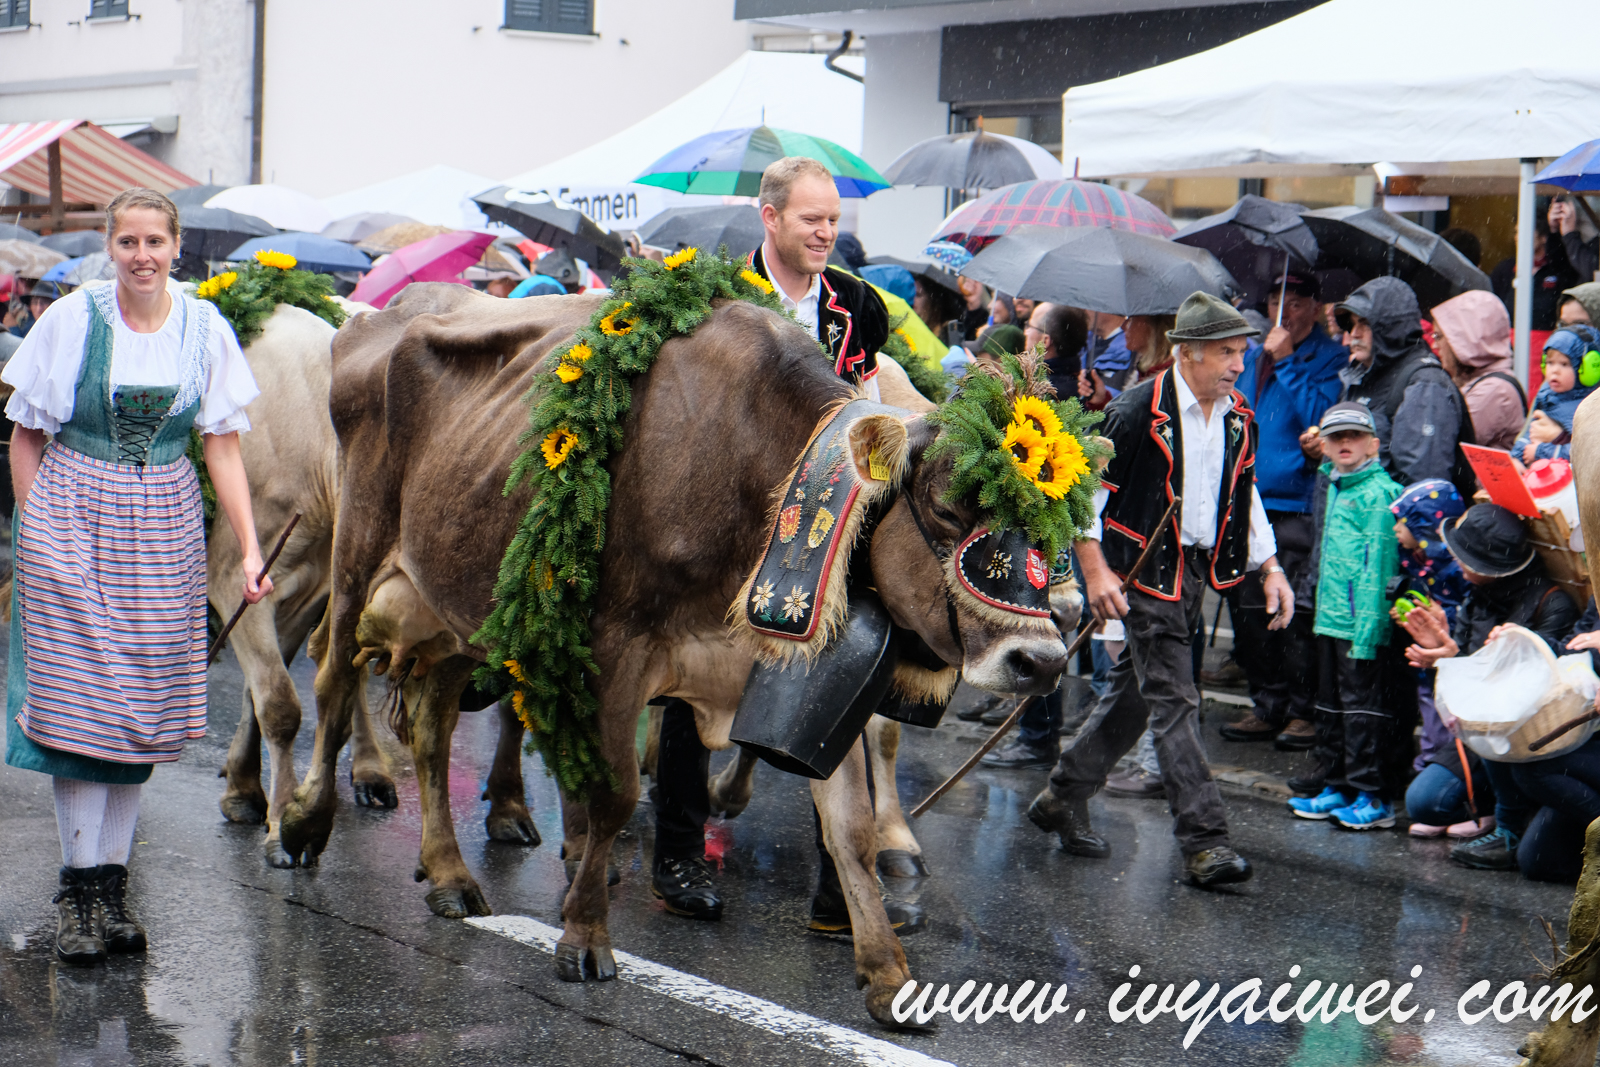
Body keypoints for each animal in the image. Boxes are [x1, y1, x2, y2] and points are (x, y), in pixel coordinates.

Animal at [281, 283, 1068, 1023]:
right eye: (947, 508)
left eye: (1049, 530)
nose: (1045, 660)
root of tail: (373, 319)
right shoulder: (615, 647)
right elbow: (617, 793)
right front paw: (584, 936)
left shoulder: (811, 675)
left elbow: (848, 826)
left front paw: (887, 976)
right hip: (356, 556)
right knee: (332, 686)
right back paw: (301, 823)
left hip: (455, 609)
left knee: (431, 725)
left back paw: (447, 873)